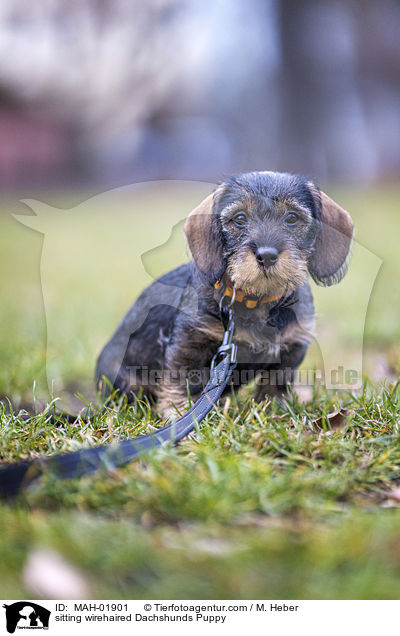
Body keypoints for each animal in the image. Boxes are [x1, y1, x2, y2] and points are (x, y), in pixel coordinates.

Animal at [97, 170, 354, 418]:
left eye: (292, 218)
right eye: (239, 218)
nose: (267, 255)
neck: (256, 300)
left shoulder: (291, 348)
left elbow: (275, 384)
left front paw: (273, 410)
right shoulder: (190, 343)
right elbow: (183, 379)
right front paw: (178, 412)